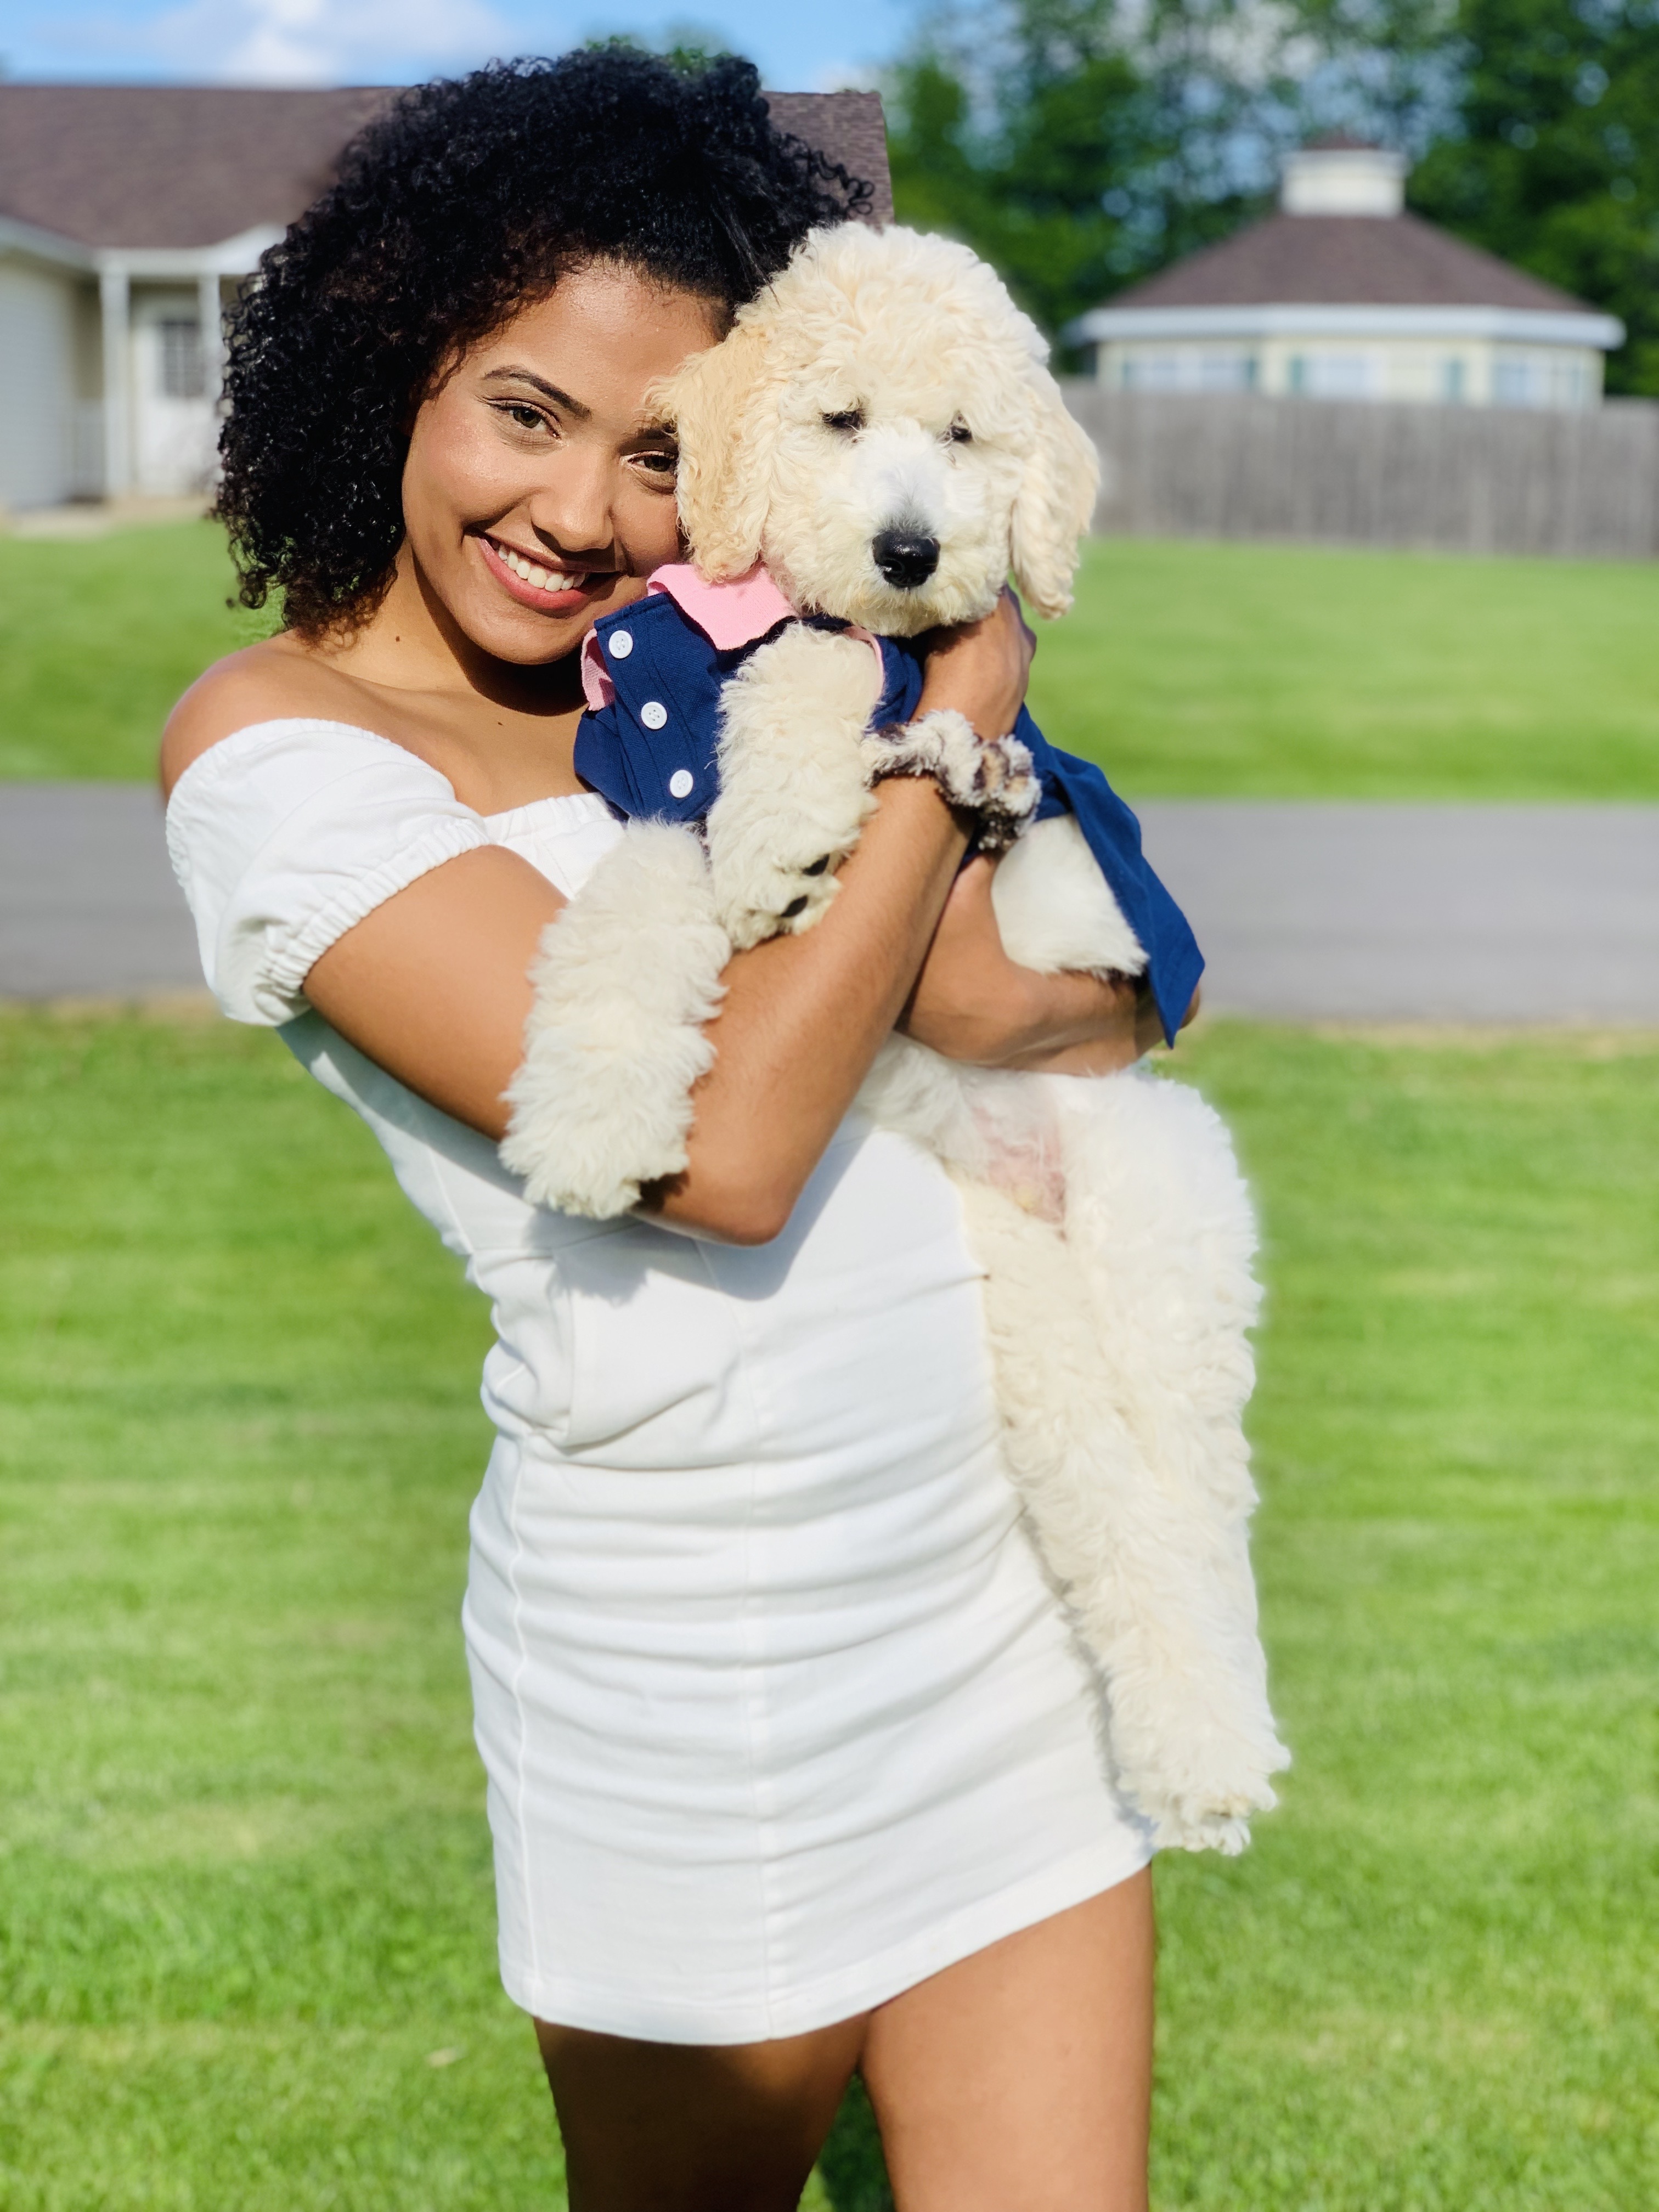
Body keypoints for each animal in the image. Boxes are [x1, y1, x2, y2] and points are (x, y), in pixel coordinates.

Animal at [500, 224, 1291, 1849]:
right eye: (842, 419)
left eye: (970, 437)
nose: (911, 556)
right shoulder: (652, 803)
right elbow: (627, 914)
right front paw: (594, 1124)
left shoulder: (1060, 856)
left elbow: (831, 668)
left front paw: (820, 805)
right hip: (1031, 1328)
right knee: (1119, 1525)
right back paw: (1187, 1762)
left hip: (1160, 1250)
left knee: (1201, 1520)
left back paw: (1221, 1760)